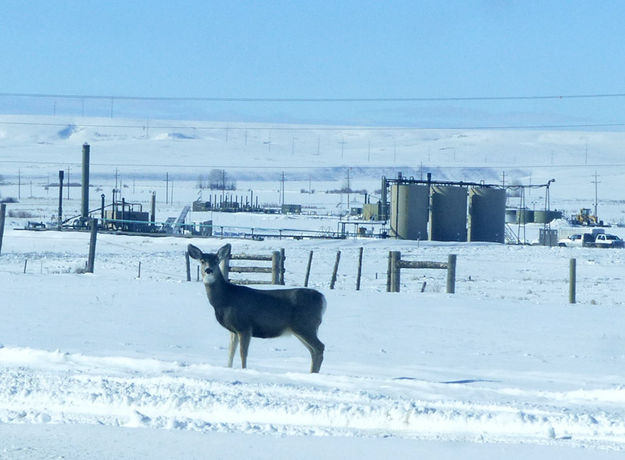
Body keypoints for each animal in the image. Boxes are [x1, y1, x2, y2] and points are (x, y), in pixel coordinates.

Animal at [188, 243, 326, 372]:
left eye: (216, 260)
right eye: (202, 260)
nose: (208, 270)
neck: (225, 300)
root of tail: (322, 298)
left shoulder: (244, 326)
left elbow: (243, 354)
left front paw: (244, 370)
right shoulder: (233, 330)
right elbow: (230, 353)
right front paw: (229, 368)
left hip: (305, 325)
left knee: (320, 347)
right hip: (302, 329)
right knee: (313, 350)